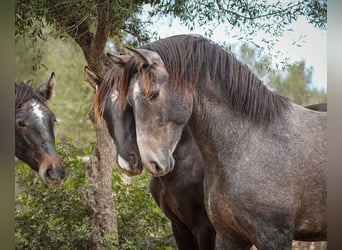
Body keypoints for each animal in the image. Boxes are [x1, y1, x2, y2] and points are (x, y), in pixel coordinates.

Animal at [119, 35, 328, 250]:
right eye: (130, 102)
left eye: (154, 94)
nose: (152, 163)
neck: (250, 143)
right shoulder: (229, 235)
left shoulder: (273, 236)